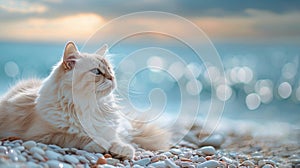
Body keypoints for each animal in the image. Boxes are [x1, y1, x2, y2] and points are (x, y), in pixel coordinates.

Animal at [0, 41, 171, 159]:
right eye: (97, 72)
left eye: (110, 70)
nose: (112, 77)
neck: (90, 106)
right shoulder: (41, 135)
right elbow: (75, 137)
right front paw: (99, 143)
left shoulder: (109, 129)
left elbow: (115, 138)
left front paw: (122, 149)